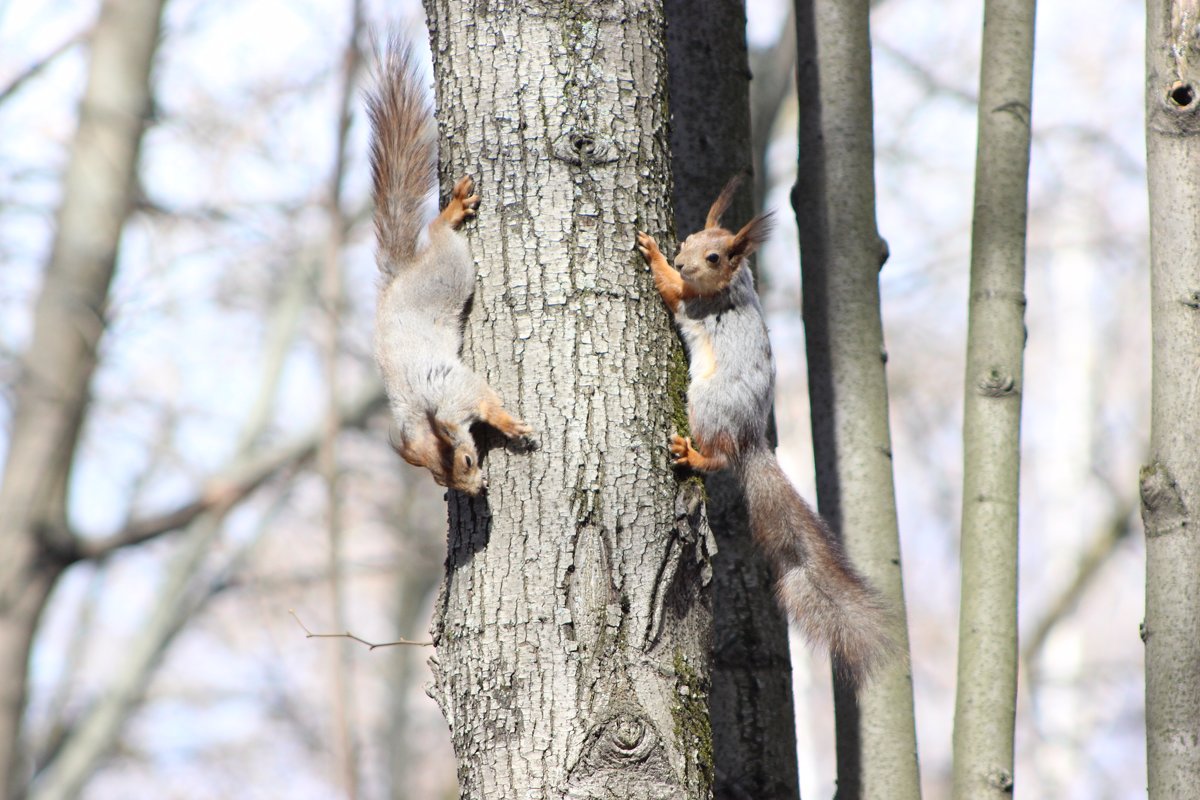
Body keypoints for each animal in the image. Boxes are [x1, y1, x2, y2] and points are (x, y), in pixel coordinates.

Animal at [364, 45, 535, 494]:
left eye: (468, 459)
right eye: (444, 481)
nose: (478, 490)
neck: (427, 413)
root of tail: (400, 277)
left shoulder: (457, 387)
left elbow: (487, 401)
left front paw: (507, 424)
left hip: (453, 267)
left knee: (439, 233)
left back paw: (452, 213)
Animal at [633, 178, 897, 686]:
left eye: (716, 257)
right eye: (691, 238)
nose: (682, 259)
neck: (735, 286)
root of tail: (750, 440)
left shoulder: (696, 304)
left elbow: (673, 290)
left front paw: (653, 253)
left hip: (707, 404)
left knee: (718, 459)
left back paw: (693, 455)